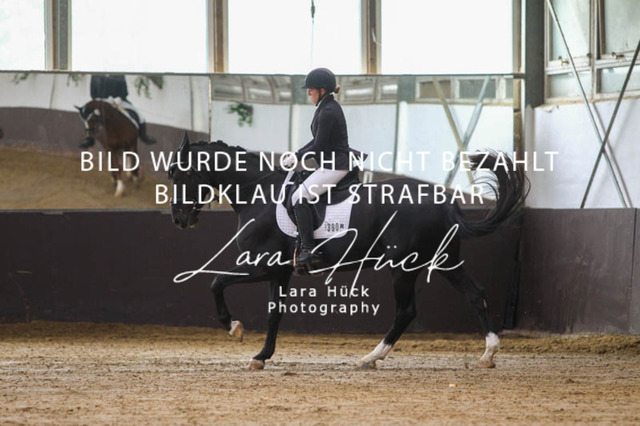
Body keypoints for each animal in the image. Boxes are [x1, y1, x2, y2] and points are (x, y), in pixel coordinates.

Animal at [169, 133, 528, 370]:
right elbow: (274, 313)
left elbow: (215, 282)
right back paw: (488, 354)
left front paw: (234, 328)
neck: (258, 193)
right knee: (475, 293)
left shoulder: (261, 265)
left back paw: (371, 357)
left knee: (406, 311)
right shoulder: (279, 271)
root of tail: (444, 201)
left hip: (403, 266)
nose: (179, 219)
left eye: (180, 174)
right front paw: (261, 356)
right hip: (443, 261)